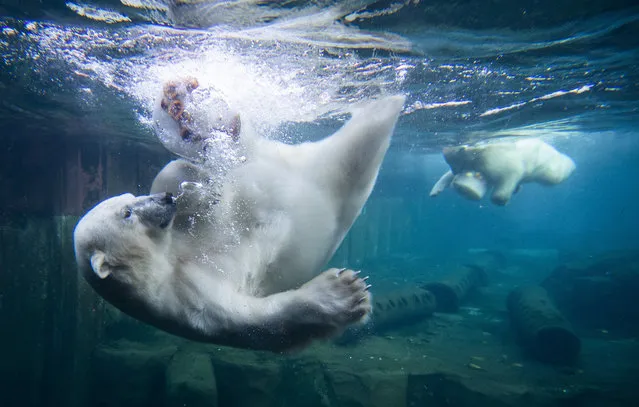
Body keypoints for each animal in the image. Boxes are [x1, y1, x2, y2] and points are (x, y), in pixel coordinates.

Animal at [74, 91, 404, 352]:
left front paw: (199, 189)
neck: (163, 267)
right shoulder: (190, 301)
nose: (166, 201)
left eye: (130, 196)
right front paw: (346, 293)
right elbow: (257, 318)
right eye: (126, 214)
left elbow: (191, 188)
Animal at [430, 139, 576, 206]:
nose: (445, 149)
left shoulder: (499, 162)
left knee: (554, 175)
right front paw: (435, 191)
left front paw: (500, 200)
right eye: (451, 164)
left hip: (545, 165)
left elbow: (509, 175)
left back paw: (572, 164)